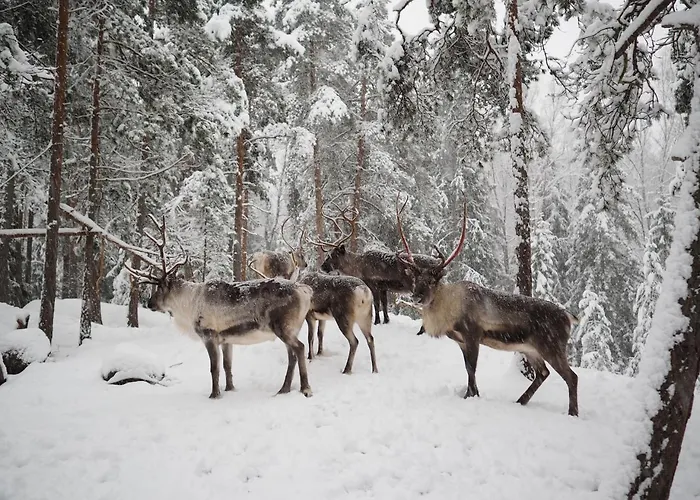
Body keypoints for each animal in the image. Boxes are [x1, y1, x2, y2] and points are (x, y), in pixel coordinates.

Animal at [126, 215, 314, 400]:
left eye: (159, 288)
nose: (149, 303)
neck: (189, 304)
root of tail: (305, 290)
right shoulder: (226, 339)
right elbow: (227, 365)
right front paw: (230, 389)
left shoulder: (209, 335)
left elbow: (214, 368)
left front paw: (214, 395)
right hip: (291, 329)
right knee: (292, 356)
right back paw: (284, 389)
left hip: (283, 327)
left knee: (299, 348)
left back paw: (305, 388)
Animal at [396, 196, 580, 417]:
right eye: (415, 279)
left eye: (432, 281)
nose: (417, 297)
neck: (449, 309)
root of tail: (569, 317)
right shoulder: (461, 341)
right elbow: (468, 368)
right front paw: (472, 393)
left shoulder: (473, 335)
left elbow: (472, 368)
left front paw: (470, 396)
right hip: (530, 349)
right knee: (543, 373)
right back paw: (520, 401)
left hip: (552, 346)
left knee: (571, 377)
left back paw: (572, 413)